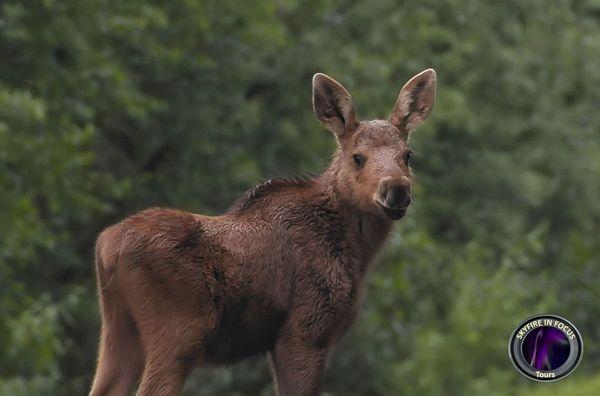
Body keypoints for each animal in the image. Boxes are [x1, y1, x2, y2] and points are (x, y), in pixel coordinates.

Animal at [90, 68, 436, 392]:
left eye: (407, 155)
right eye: (357, 157)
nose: (396, 190)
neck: (358, 253)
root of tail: (106, 248)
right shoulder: (304, 331)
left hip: (118, 330)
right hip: (178, 333)